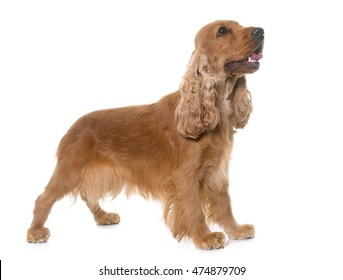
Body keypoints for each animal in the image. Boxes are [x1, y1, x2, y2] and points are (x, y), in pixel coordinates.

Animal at [26, 20, 264, 250]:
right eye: (222, 31)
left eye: (239, 24)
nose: (260, 31)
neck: (213, 106)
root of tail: (73, 126)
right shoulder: (185, 175)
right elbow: (194, 208)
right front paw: (205, 237)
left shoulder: (217, 170)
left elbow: (224, 204)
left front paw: (236, 230)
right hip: (70, 170)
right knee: (43, 199)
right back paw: (35, 232)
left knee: (88, 195)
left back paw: (103, 217)